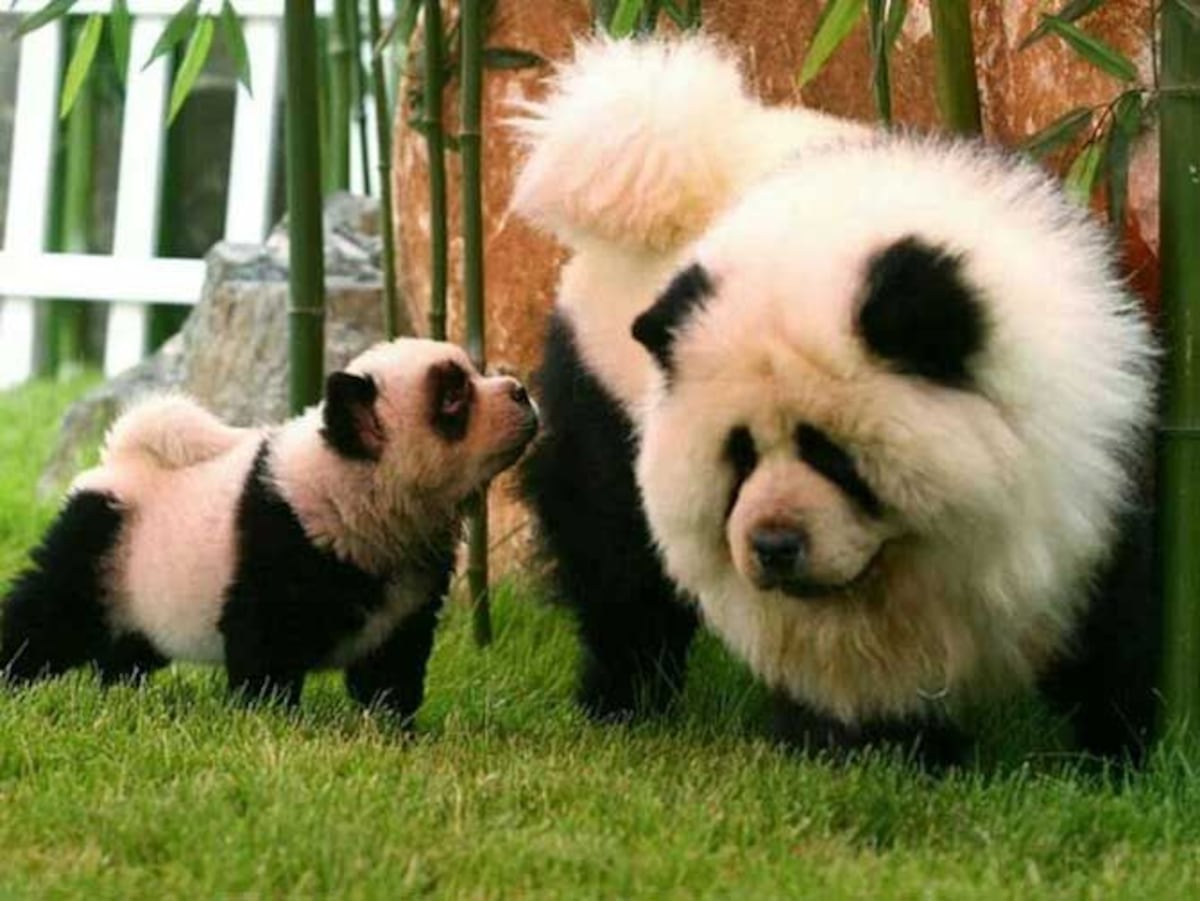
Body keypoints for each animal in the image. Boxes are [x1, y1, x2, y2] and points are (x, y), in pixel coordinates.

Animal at [1, 338, 539, 719]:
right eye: (453, 398)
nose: (521, 391)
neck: (353, 485)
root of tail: (122, 457)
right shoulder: (283, 541)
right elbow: (265, 645)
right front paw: (270, 718)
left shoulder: (408, 591)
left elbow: (392, 661)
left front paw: (394, 725)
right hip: (101, 545)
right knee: (47, 615)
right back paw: (14, 680)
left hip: (142, 585)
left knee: (129, 646)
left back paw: (117, 692)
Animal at [512, 36, 1159, 764]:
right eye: (739, 456)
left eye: (832, 453)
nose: (774, 544)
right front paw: (880, 749)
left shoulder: (1091, 455)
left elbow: (1113, 616)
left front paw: (1116, 753)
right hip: (602, 385)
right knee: (616, 564)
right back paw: (622, 702)